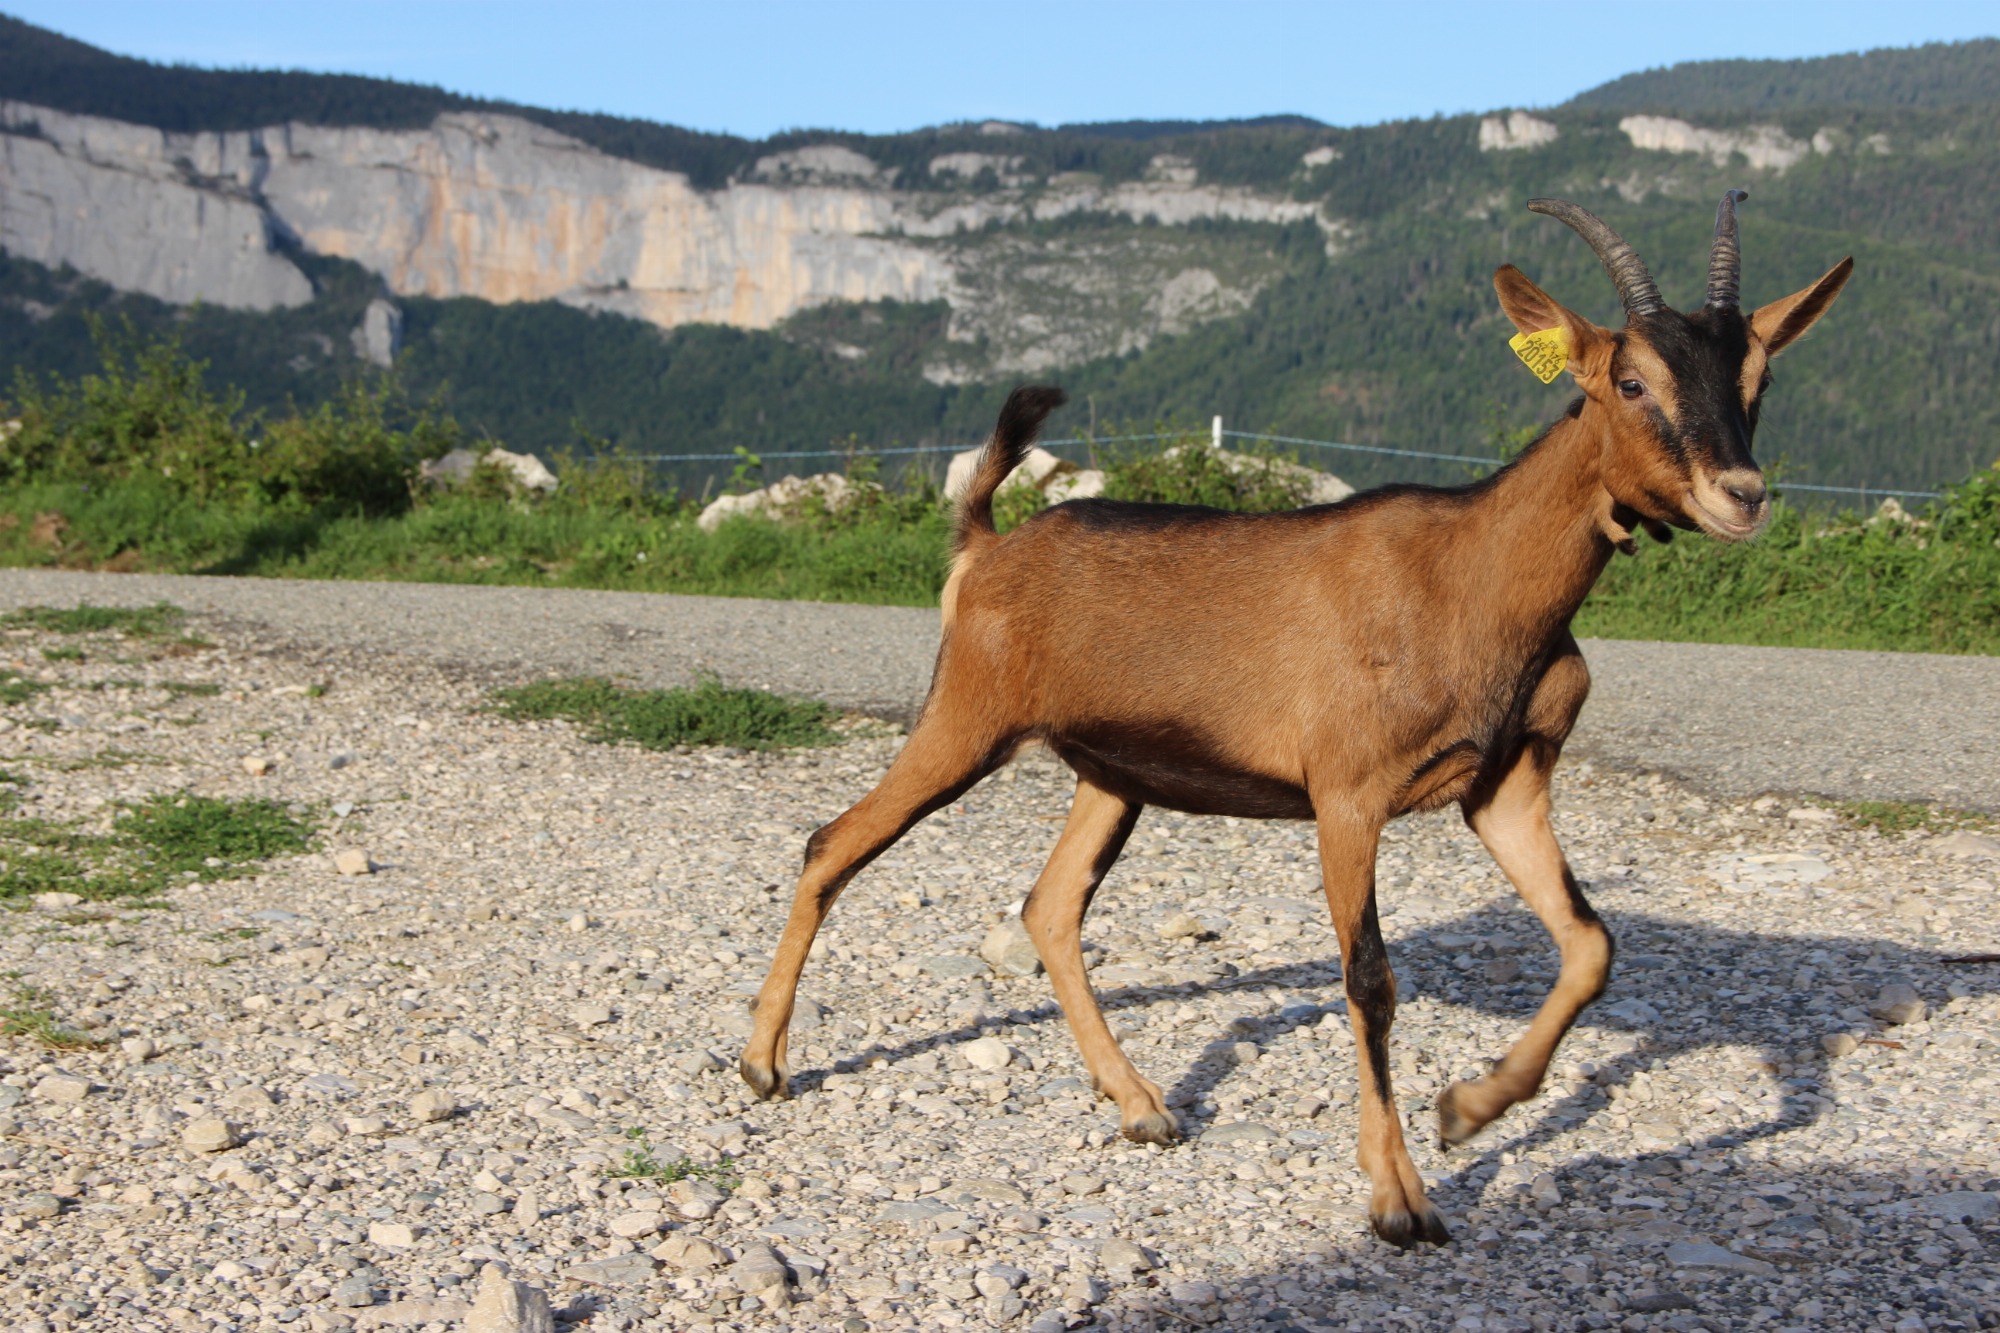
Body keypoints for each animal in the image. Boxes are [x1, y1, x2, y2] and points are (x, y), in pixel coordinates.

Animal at [744, 192, 1848, 1240]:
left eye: (1759, 379)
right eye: (1629, 381)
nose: (1741, 495)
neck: (1474, 580)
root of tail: (984, 546)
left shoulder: (1505, 783)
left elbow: (1589, 945)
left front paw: (1469, 1108)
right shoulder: (1348, 793)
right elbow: (1370, 980)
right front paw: (1399, 1198)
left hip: (1111, 772)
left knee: (1049, 906)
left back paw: (1142, 1104)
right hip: (966, 715)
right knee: (832, 841)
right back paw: (762, 1063)